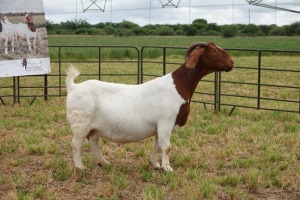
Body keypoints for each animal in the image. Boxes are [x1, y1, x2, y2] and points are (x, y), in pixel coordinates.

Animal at [65, 42, 234, 172]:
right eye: (213, 50)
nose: (232, 62)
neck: (178, 86)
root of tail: (73, 87)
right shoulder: (166, 122)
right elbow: (166, 147)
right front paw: (168, 168)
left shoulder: (159, 126)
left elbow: (157, 145)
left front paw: (156, 165)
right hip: (81, 123)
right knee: (76, 143)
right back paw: (80, 167)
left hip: (93, 127)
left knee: (93, 142)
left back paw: (104, 162)